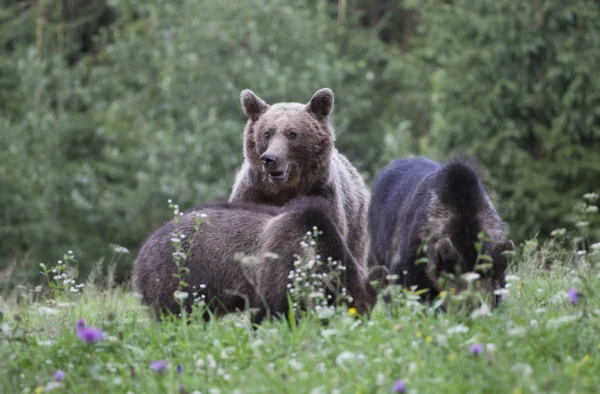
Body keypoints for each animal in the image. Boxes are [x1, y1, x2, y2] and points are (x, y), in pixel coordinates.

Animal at [229, 87, 370, 270]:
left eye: (292, 134)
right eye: (267, 133)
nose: (269, 159)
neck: (285, 189)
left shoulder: (321, 195)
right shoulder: (254, 193)